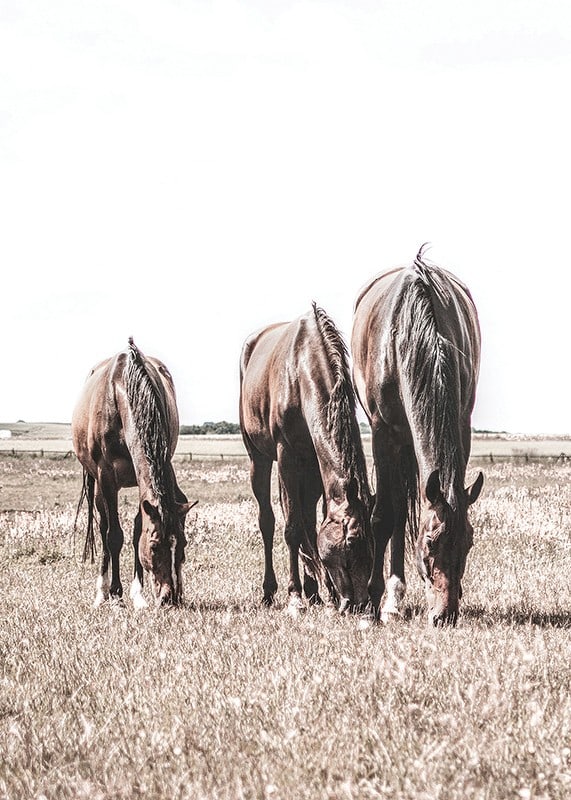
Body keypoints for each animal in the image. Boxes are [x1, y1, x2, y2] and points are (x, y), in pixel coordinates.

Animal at [72, 338, 194, 608]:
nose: (170, 598)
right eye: (155, 546)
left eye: (183, 544)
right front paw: (116, 593)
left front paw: (138, 594)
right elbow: (114, 535)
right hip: (99, 486)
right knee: (104, 526)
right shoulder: (106, 476)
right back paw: (102, 592)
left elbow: (138, 529)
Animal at [239, 302, 373, 614]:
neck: (301, 371)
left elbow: (312, 525)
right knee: (268, 520)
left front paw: (324, 593)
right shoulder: (286, 456)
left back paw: (314, 591)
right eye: (349, 547)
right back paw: (271, 591)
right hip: (259, 458)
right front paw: (295, 595)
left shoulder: (314, 463)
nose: (358, 605)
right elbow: (291, 528)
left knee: (307, 521)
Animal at [351, 246, 484, 626]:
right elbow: (384, 515)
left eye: (468, 543)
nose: (445, 615)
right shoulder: (382, 432)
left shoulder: (461, 425)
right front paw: (372, 604)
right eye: (429, 543)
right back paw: (390, 600)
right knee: (396, 508)